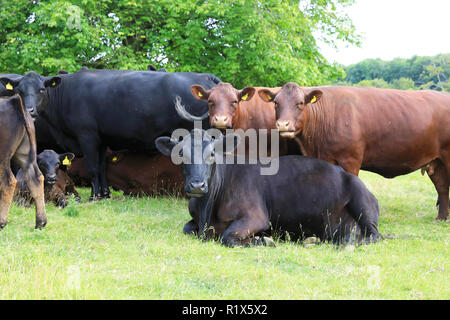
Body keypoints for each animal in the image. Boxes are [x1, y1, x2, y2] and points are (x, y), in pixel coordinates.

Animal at [0, 95, 46, 228]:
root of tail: (13, 101)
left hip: (3, 157)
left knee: (8, 182)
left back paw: (2, 222)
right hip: (26, 155)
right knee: (36, 179)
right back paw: (40, 222)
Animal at [34, 69, 221, 200]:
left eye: (42, 90)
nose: (30, 110)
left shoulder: (86, 136)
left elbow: (93, 167)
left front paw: (94, 196)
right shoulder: (102, 140)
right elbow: (102, 167)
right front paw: (105, 194)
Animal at [156, 129, 382, 246]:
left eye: (212, 153)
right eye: (181, 154)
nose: (197, 185)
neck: (208, 212)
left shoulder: (256, 217)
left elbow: (228, 237)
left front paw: (263, 240)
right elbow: (187, 229)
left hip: (361, 201)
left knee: (373, 236)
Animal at [256, 84, 450, 221]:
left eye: (300, 103)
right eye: (276, 103)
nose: (283, 125)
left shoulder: (350, 161)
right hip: (437, 161)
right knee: (442, 187)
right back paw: (441, 218)